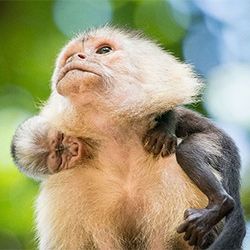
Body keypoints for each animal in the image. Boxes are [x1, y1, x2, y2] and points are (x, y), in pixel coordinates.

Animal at [11, 26, 244, 249]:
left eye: (104, 50)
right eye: (68, 57)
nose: (75, 57)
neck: (122, 156)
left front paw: (165, 127)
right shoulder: (64, 186)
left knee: (188, 152)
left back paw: (220, 202)